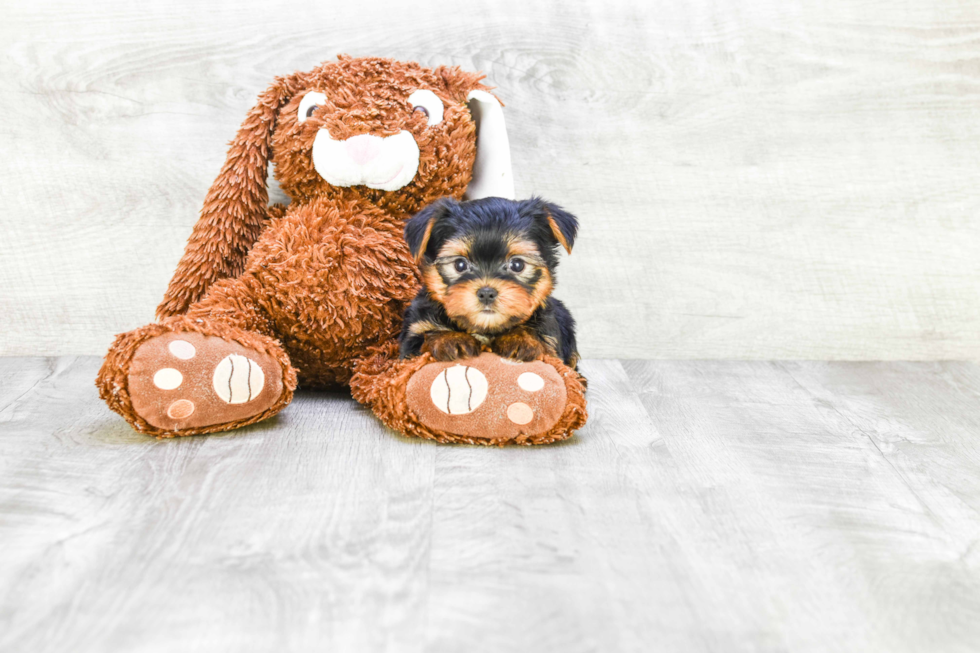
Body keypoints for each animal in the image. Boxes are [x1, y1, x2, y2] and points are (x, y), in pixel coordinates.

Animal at [400, 196, 580, 366]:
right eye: (460, 264)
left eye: (517, 265)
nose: (486, 293)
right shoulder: (414, 336)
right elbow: (426, 336)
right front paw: (450, 339)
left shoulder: (550, 337)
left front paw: (520, 338)